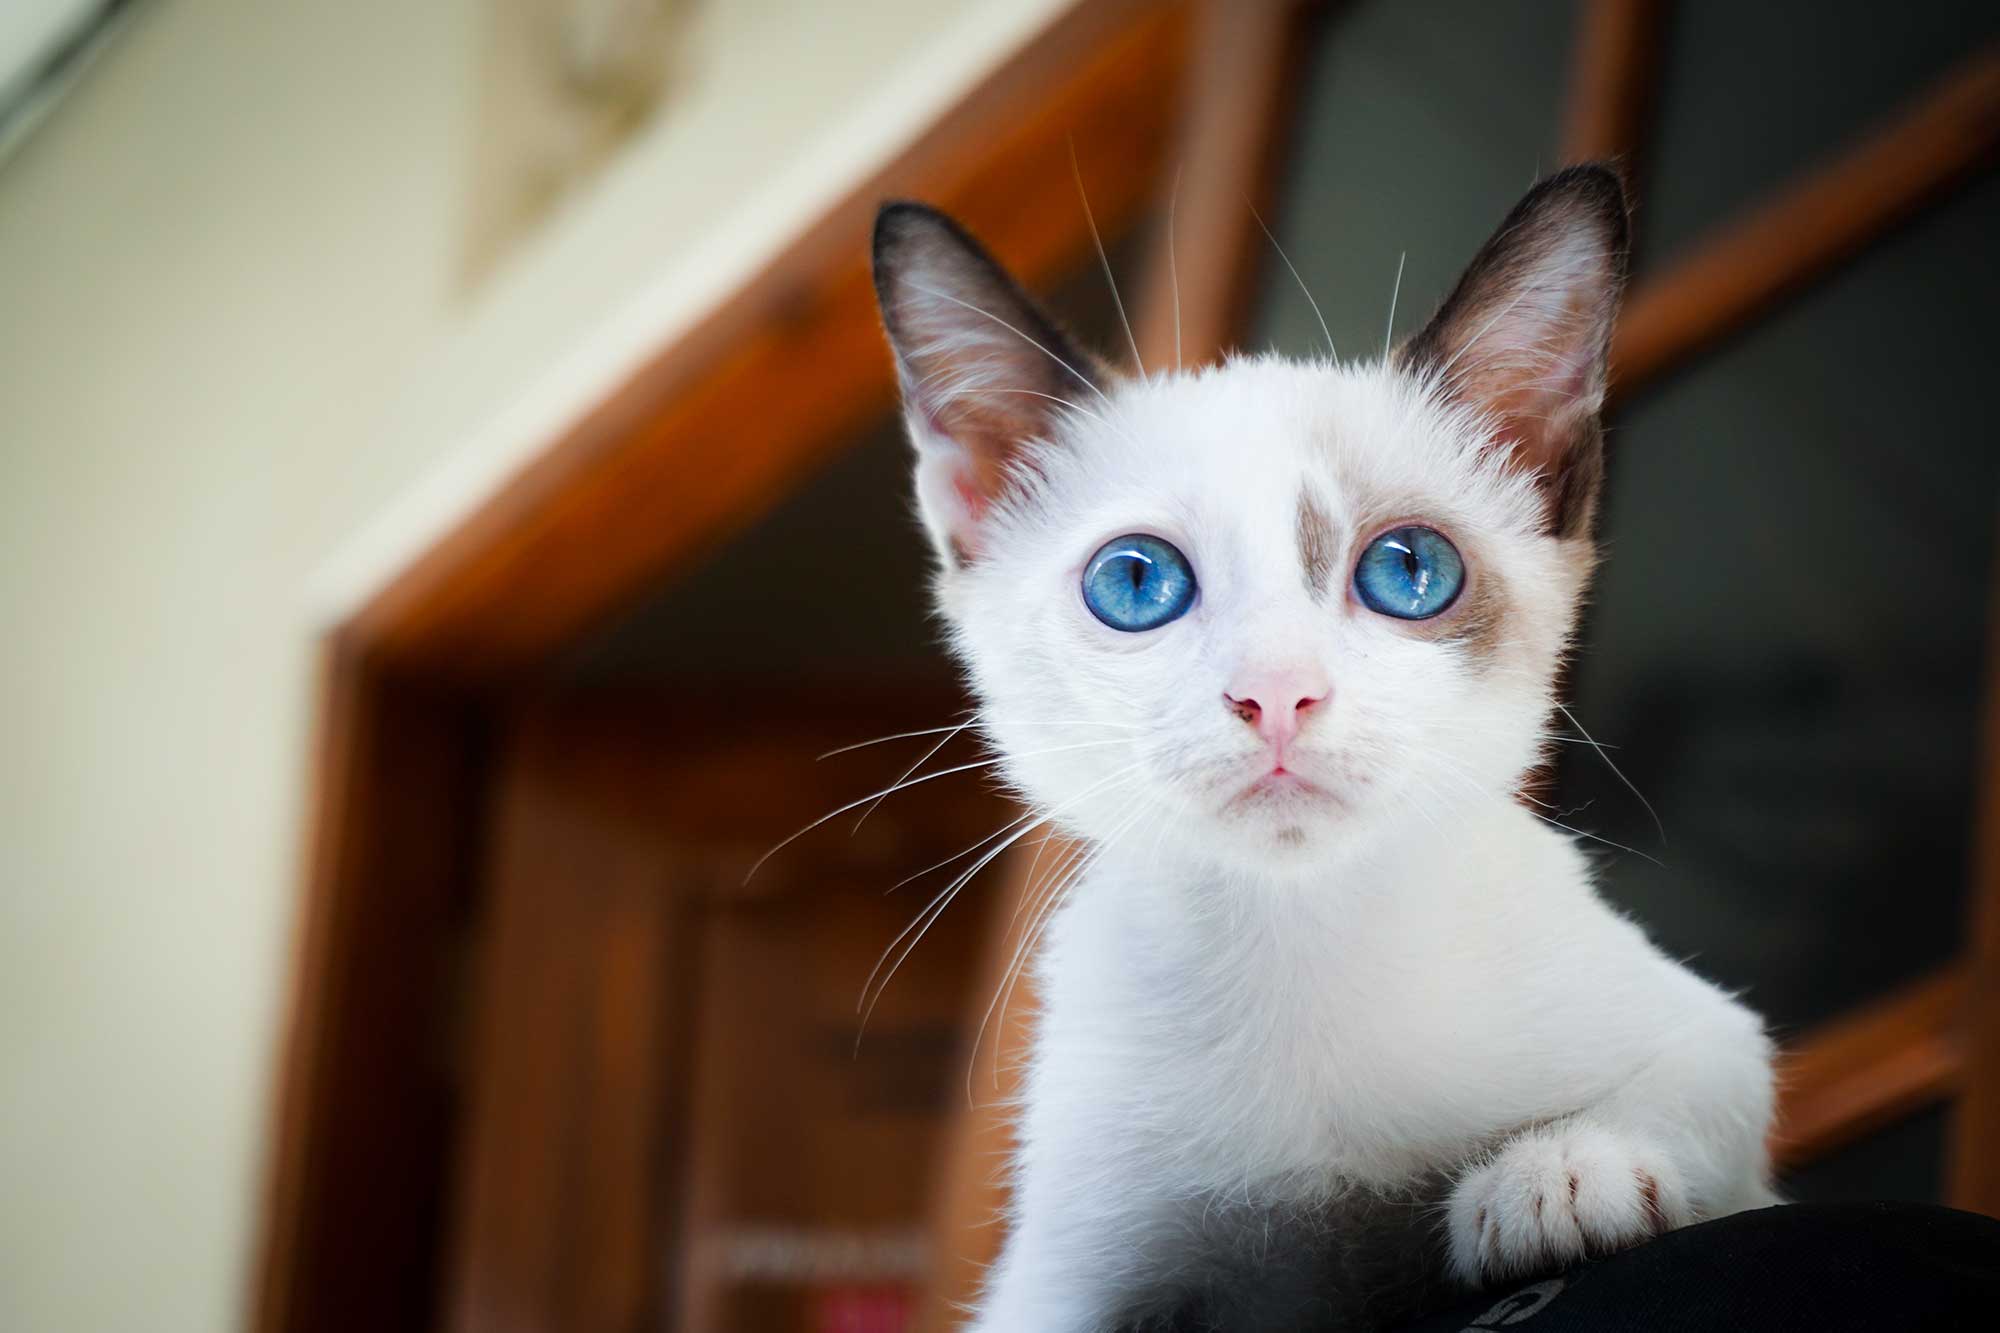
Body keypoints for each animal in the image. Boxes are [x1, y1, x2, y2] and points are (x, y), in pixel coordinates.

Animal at [868, 169, 1776, 1328]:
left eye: (1407, 569)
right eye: (1134, 582)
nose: (1275, 693)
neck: (1299, 945)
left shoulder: (1708, 1032)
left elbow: (1709, 1082)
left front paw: (1568, 1173)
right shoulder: (1057, 1285)